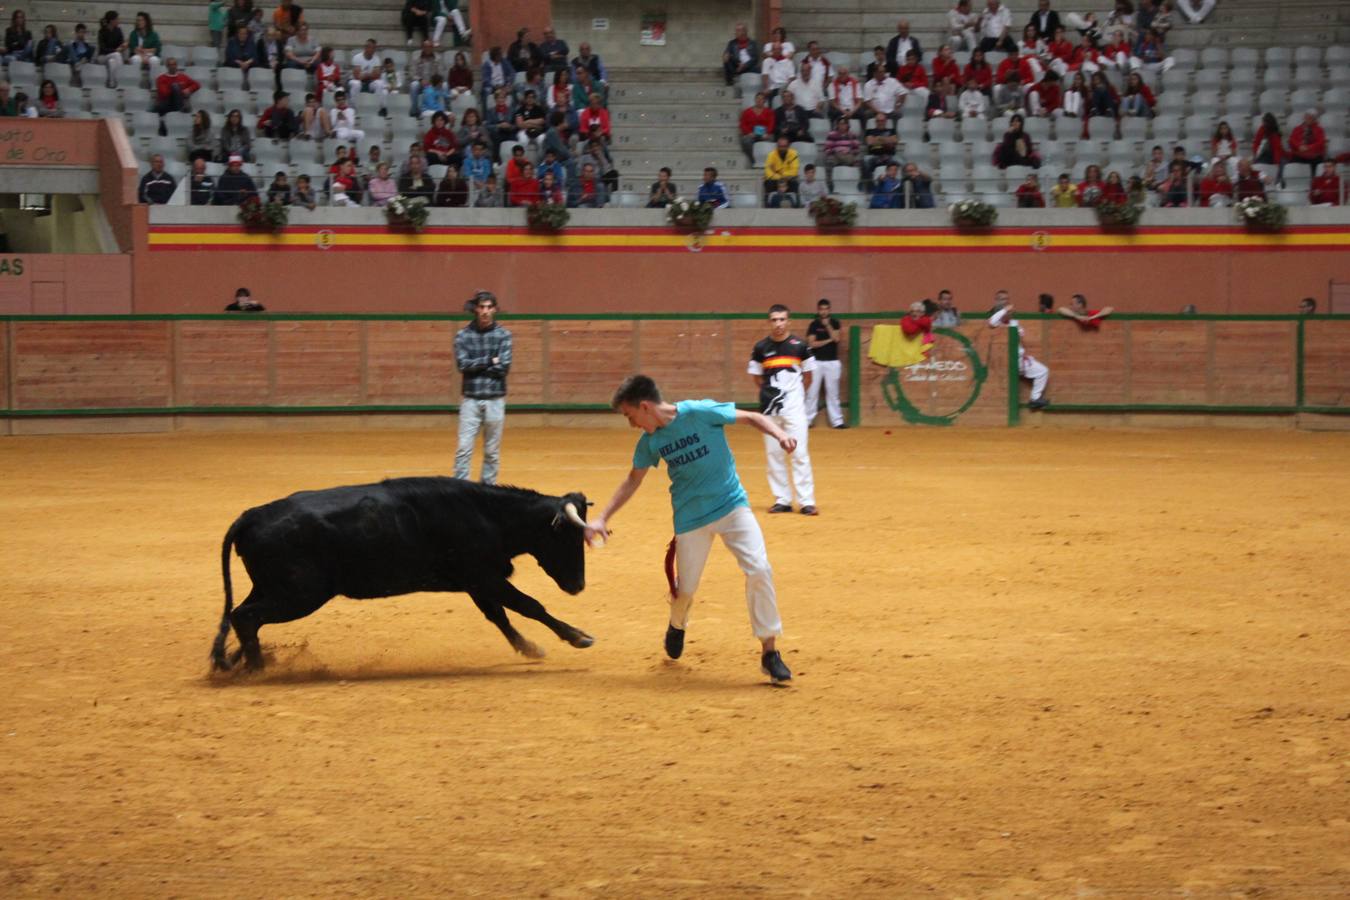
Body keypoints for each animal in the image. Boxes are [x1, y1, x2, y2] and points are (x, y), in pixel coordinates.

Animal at [209, 477, 591, 669]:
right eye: (570, 537)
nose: (578, 585)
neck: (487, 514)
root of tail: (250, 516)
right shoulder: (485, 577)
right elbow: (529, 605)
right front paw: (578, 636)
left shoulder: (477, 581)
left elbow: (499, 615)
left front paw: (529, 648)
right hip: (299, 595)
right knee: (245, 617)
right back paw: (257, 668)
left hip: (272, 589)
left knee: (242, 616)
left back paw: (240, 660)